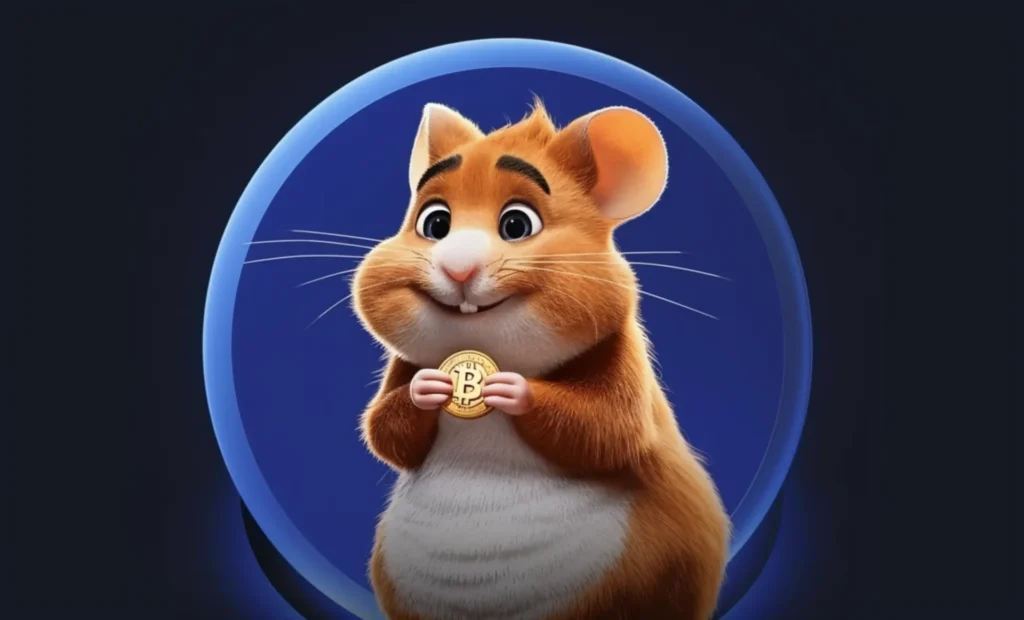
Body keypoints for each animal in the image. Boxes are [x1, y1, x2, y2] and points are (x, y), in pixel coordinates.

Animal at [352, 98, 730, 620]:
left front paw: (508, 388)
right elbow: (387, 431)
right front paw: (430, 387)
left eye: (517, 224)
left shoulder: (622, 376)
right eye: (434, 224)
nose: (458, 269)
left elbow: (605, 429)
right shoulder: (400, 370)